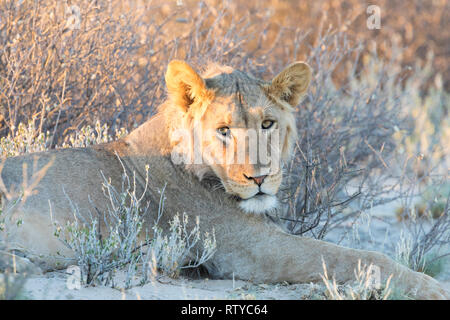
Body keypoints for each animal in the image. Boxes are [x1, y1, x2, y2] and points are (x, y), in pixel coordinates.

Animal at [0, 60, 448, 300]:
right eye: (224, 131)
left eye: (267, 124)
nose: (259, 178)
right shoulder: (252, 251)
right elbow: (363, 257)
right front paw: (433, 287)